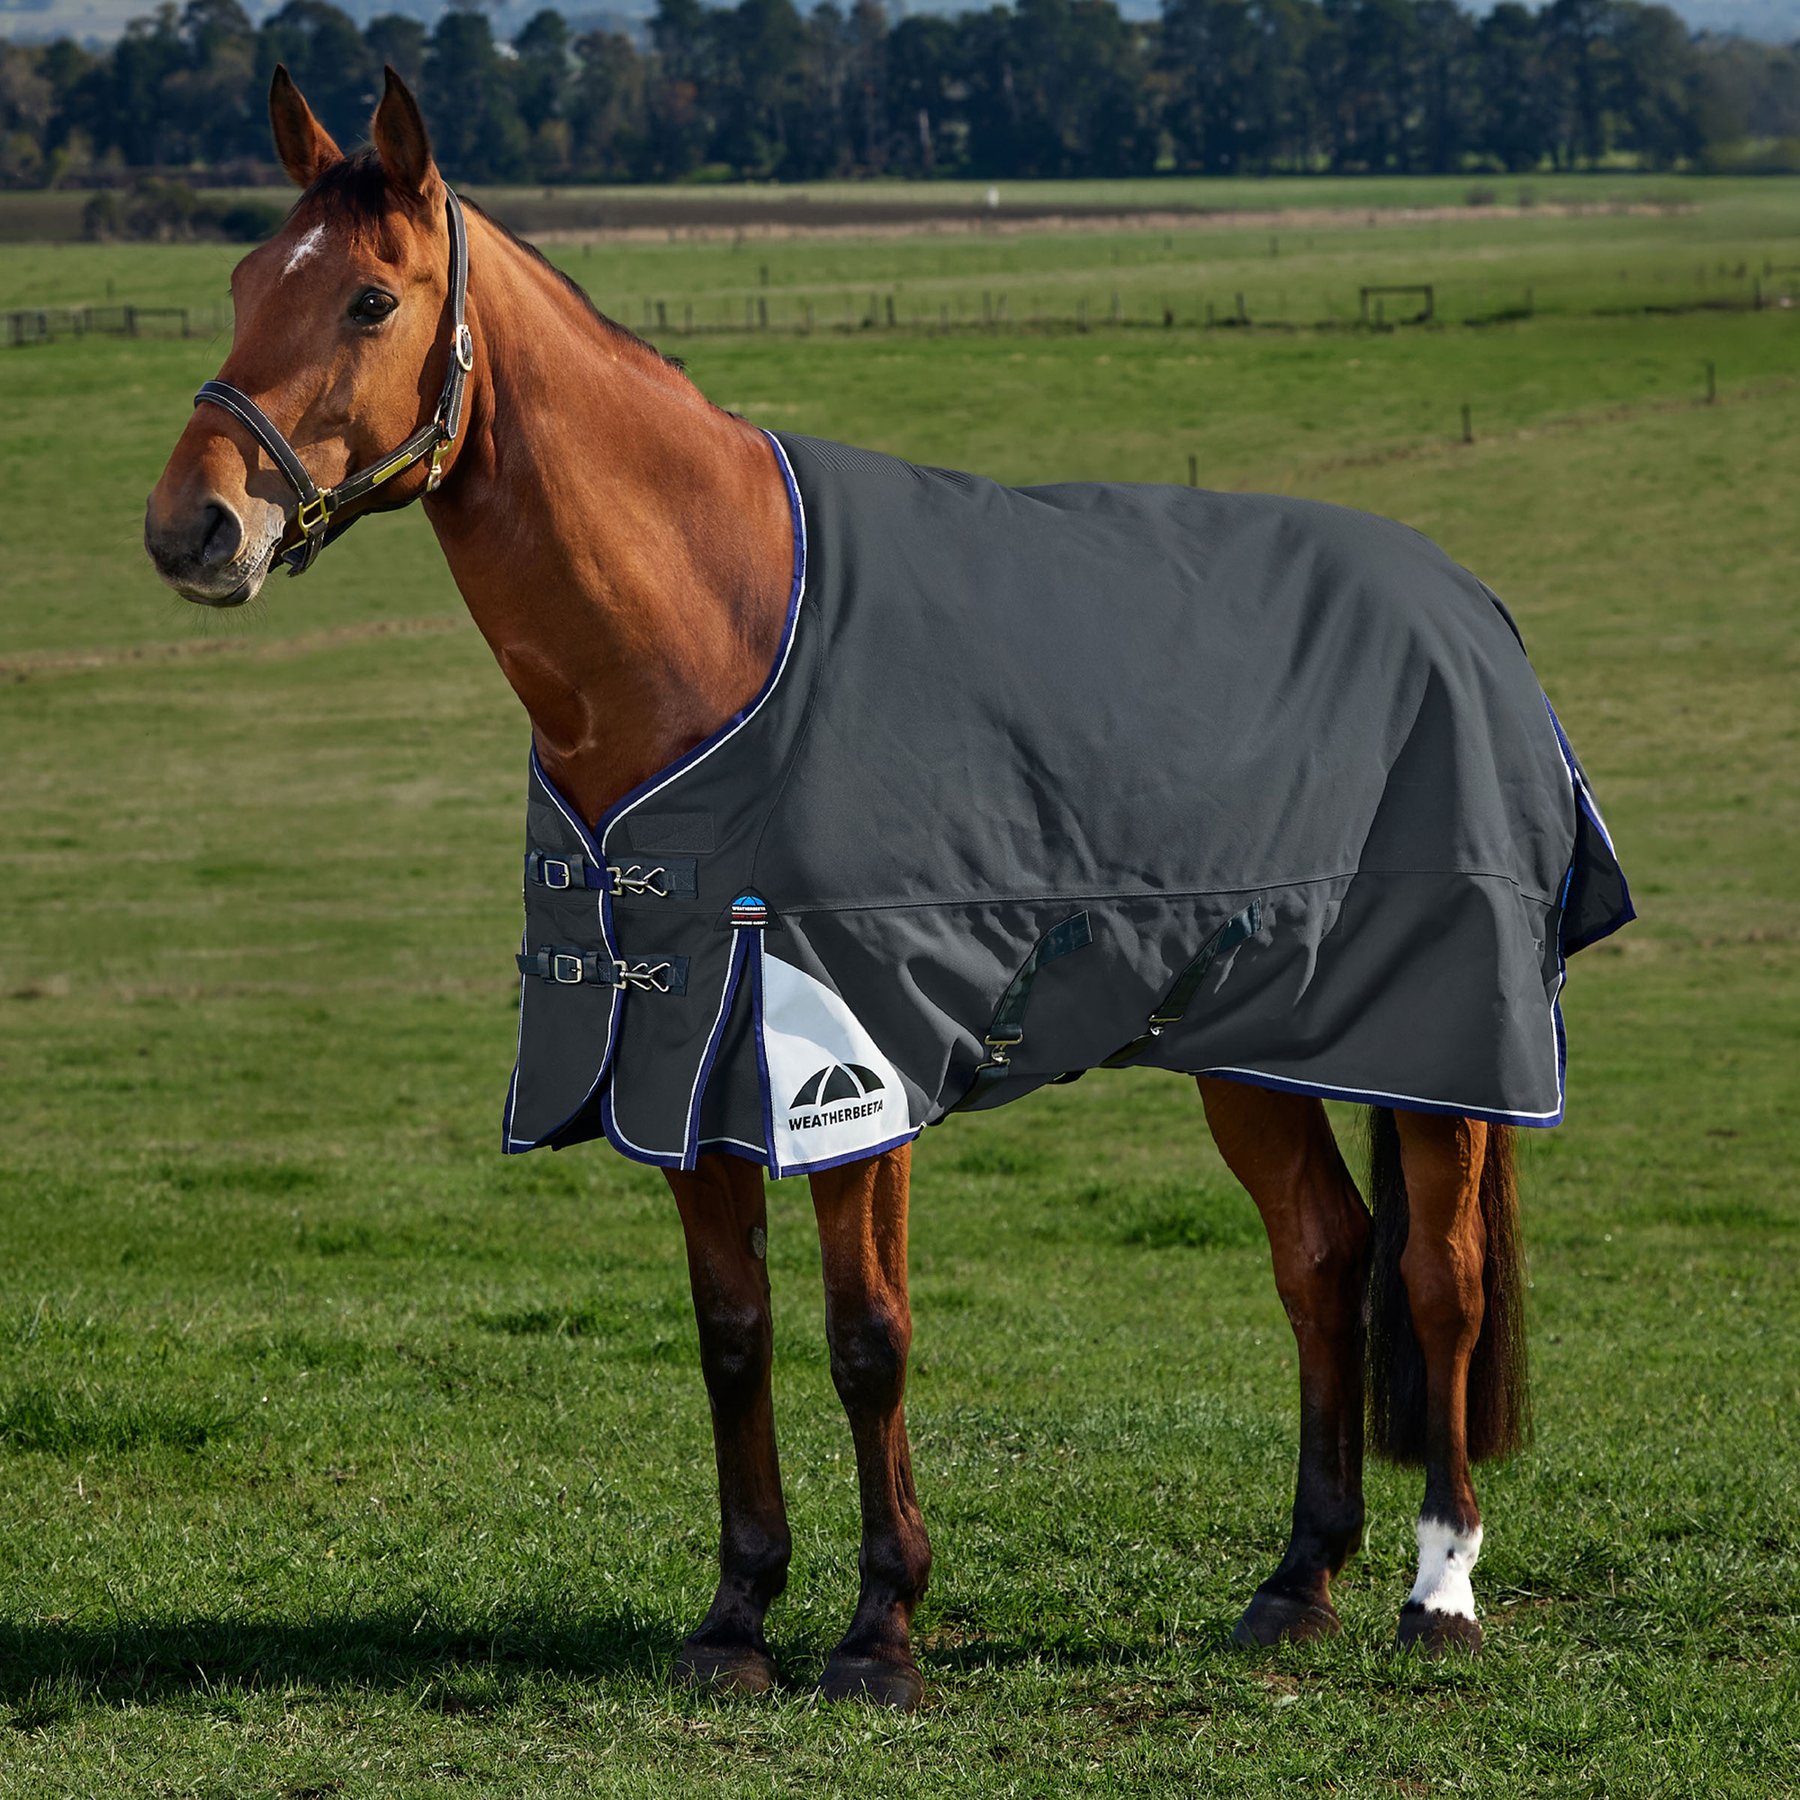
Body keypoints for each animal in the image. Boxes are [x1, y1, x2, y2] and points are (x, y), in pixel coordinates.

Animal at [145, 69, 1626, 1710]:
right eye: (239, 283)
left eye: (366, 297)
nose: (193, 528)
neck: (716, 631)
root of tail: (1469, 608)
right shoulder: (679, 1049)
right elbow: (732, 1334)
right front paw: (735, 1617)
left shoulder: (845, 1058)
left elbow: (867, 1336)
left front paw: (879, 1628)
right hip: (1246, 1036)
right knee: (1322, 1258)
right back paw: (1298, 1581)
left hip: (1439, 1040)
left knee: (1437, 1280)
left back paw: (1441, 1589)